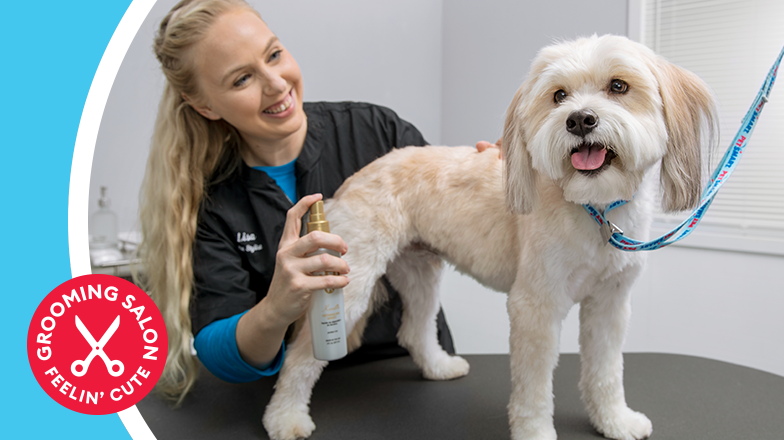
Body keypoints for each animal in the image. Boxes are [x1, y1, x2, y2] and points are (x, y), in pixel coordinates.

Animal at [264, 34, 716, 440]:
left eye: (619, 86)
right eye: (559, 95)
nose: (579, 120)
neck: (594, 208)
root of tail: (353, 180)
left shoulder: (610, 302)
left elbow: (606, 372)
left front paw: (614, 422)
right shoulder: (535, 307)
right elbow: (533, 390)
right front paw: (535, 434)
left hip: (419, 270)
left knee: (414, 329)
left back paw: (439, 367)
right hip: (349, 278)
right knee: (300, 355)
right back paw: (285, 418)